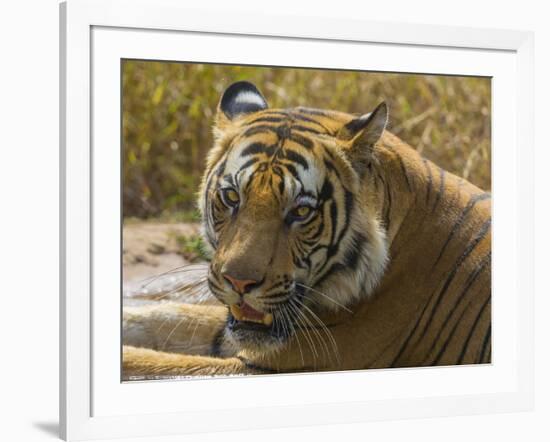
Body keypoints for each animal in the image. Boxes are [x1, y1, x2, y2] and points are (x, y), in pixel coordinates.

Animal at [123, 81, 494, 378]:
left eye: (300, 211)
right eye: (232, 197)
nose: (239, 283)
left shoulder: (277, 362)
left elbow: (153, 363)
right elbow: (170, 316)